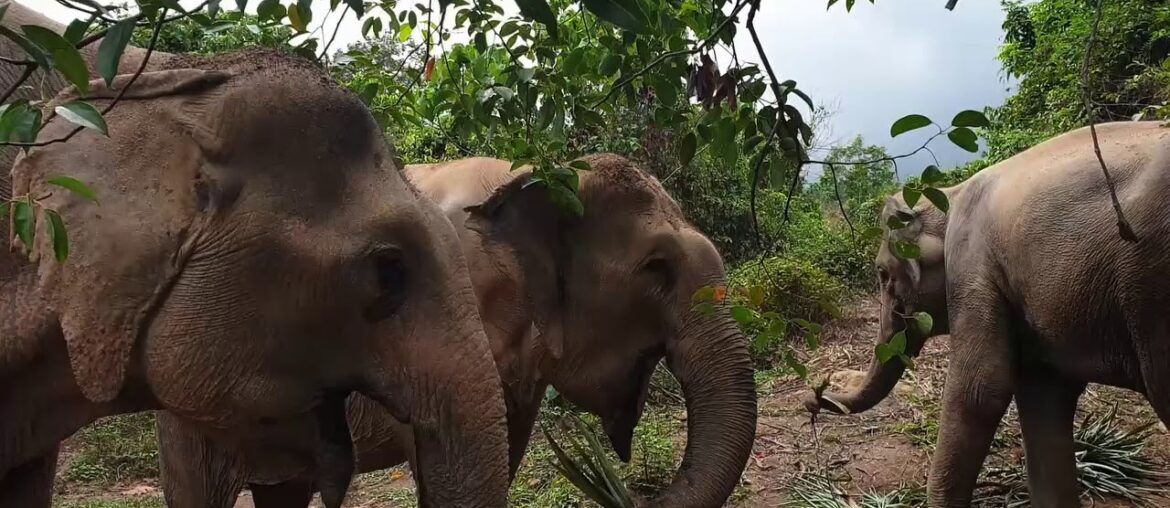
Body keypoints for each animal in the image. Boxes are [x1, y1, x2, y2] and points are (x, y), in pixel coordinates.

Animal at [803, 120, 1170, 507]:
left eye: (883, 275)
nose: (815, 394)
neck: (949, 194)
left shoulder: (973, 265)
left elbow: (980, 390)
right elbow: (1041, 393)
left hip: (1152, 291)